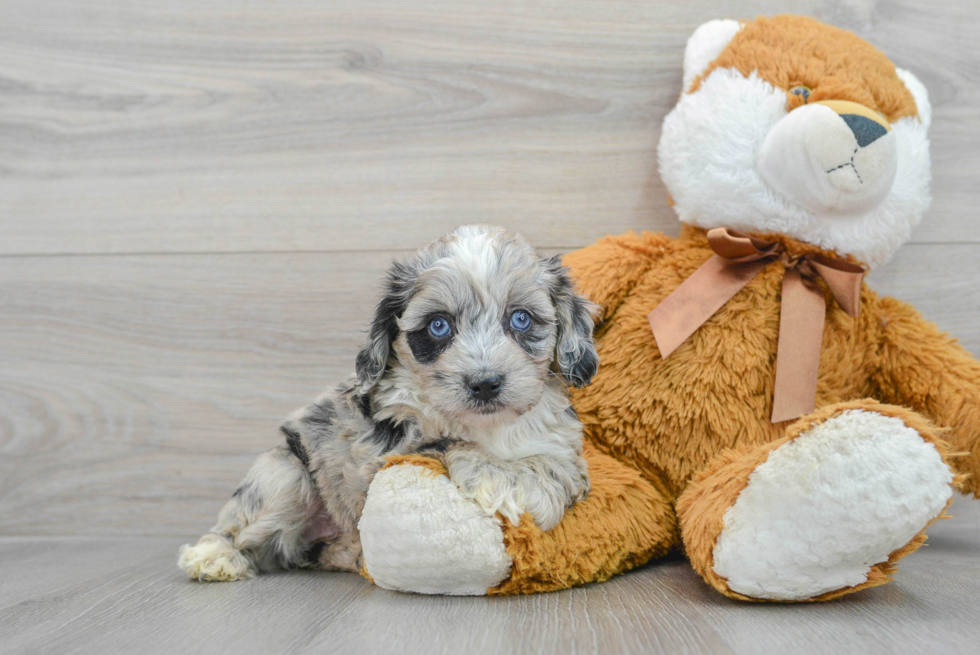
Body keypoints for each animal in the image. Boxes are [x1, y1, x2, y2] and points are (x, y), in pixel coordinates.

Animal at [176, 227, 596, 584]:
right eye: (439, 325)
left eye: (521, 318)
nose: (485, 383)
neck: (484, 426)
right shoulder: (381, 450)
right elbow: (442, 441)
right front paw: (499, 478)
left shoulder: (563, 446)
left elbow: (556, 467)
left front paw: (528, 483)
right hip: (284, 476)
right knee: (237, 529)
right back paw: (214, 557)